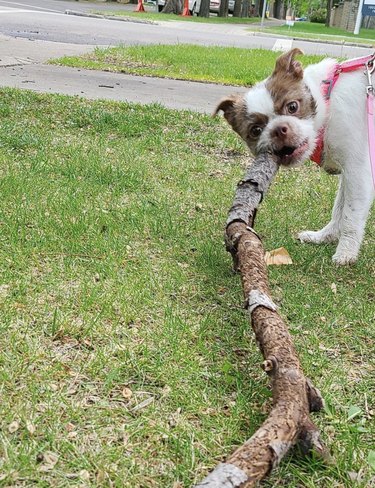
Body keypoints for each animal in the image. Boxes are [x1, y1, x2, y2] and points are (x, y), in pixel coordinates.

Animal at [214, 47, 375, 264]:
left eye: (292, 107)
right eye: (256, 130)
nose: (279, 129)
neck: (328, 103)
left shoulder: (359, 172)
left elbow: (350, 215)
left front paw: (345, 253)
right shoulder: (348, 175)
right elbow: (339, 209)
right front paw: (325, 236)